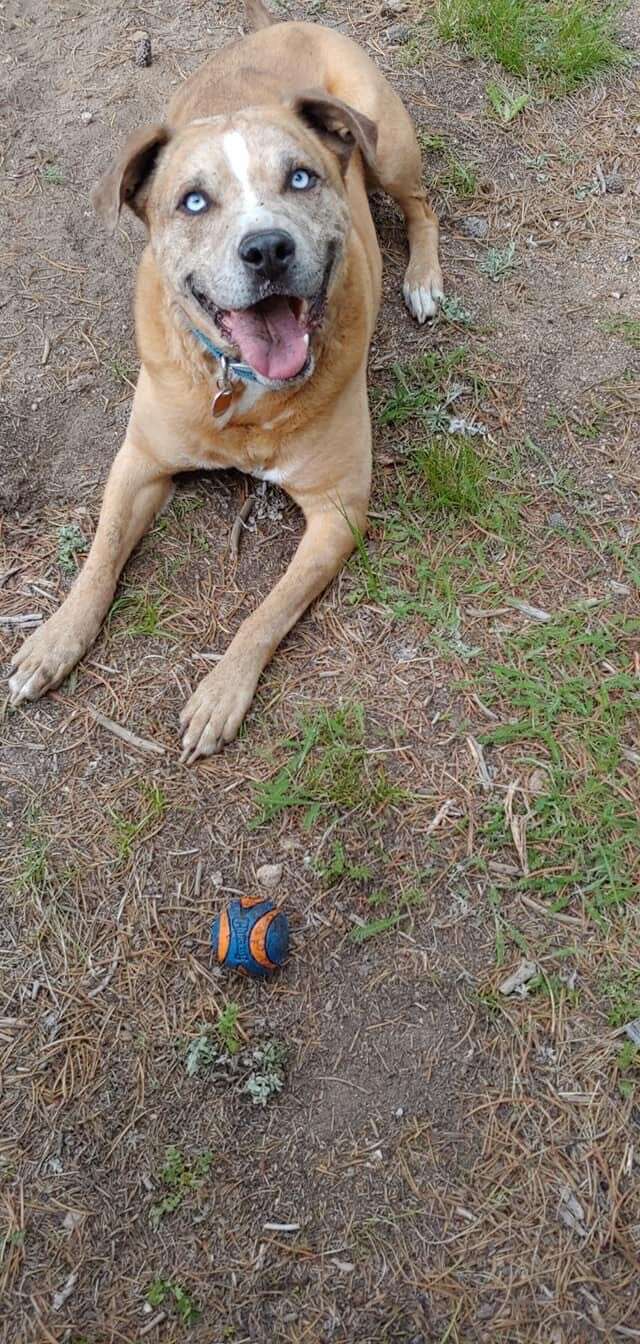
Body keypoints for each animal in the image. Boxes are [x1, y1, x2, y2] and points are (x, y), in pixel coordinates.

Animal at [10, 0, 443, 758]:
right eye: (192, 202)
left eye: (300, 178)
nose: (267, 248)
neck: (242, 391)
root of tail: (288, 24)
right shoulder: (140, 463)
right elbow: (99, 560)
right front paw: (55, 639)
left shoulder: (337, 511)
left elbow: (265, 613)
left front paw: (220, 694)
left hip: (388, 146)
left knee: (422, 204)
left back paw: (423, 279)